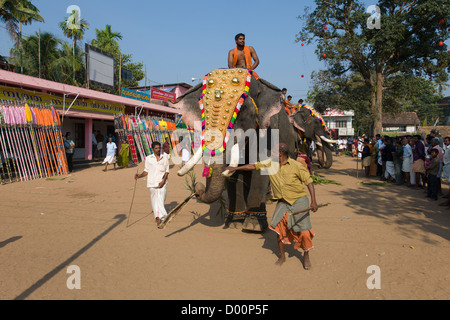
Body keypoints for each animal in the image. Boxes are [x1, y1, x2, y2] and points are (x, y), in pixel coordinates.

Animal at [168, 69, 296, 231]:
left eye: (243, 110)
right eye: (203, 109)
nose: (197, 188)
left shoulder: (268, 130)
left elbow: (260, 166)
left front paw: (253, 226)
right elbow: (235, 173)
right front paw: (235, 223)